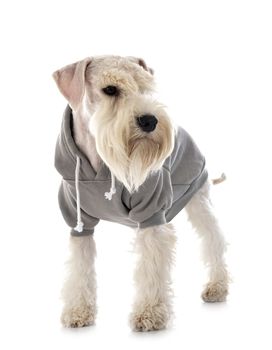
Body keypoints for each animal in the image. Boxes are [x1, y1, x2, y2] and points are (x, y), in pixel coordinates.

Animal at [52, 54, 228, 330]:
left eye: (145, 87)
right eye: (110, 89)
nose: (150, 121)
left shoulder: (151, 214)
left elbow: (152, 265)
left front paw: (149, 313)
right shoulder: (78, 221)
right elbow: (80, 267)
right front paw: (78, 311)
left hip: (199, 200)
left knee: (213, 239)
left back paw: (217, 286)